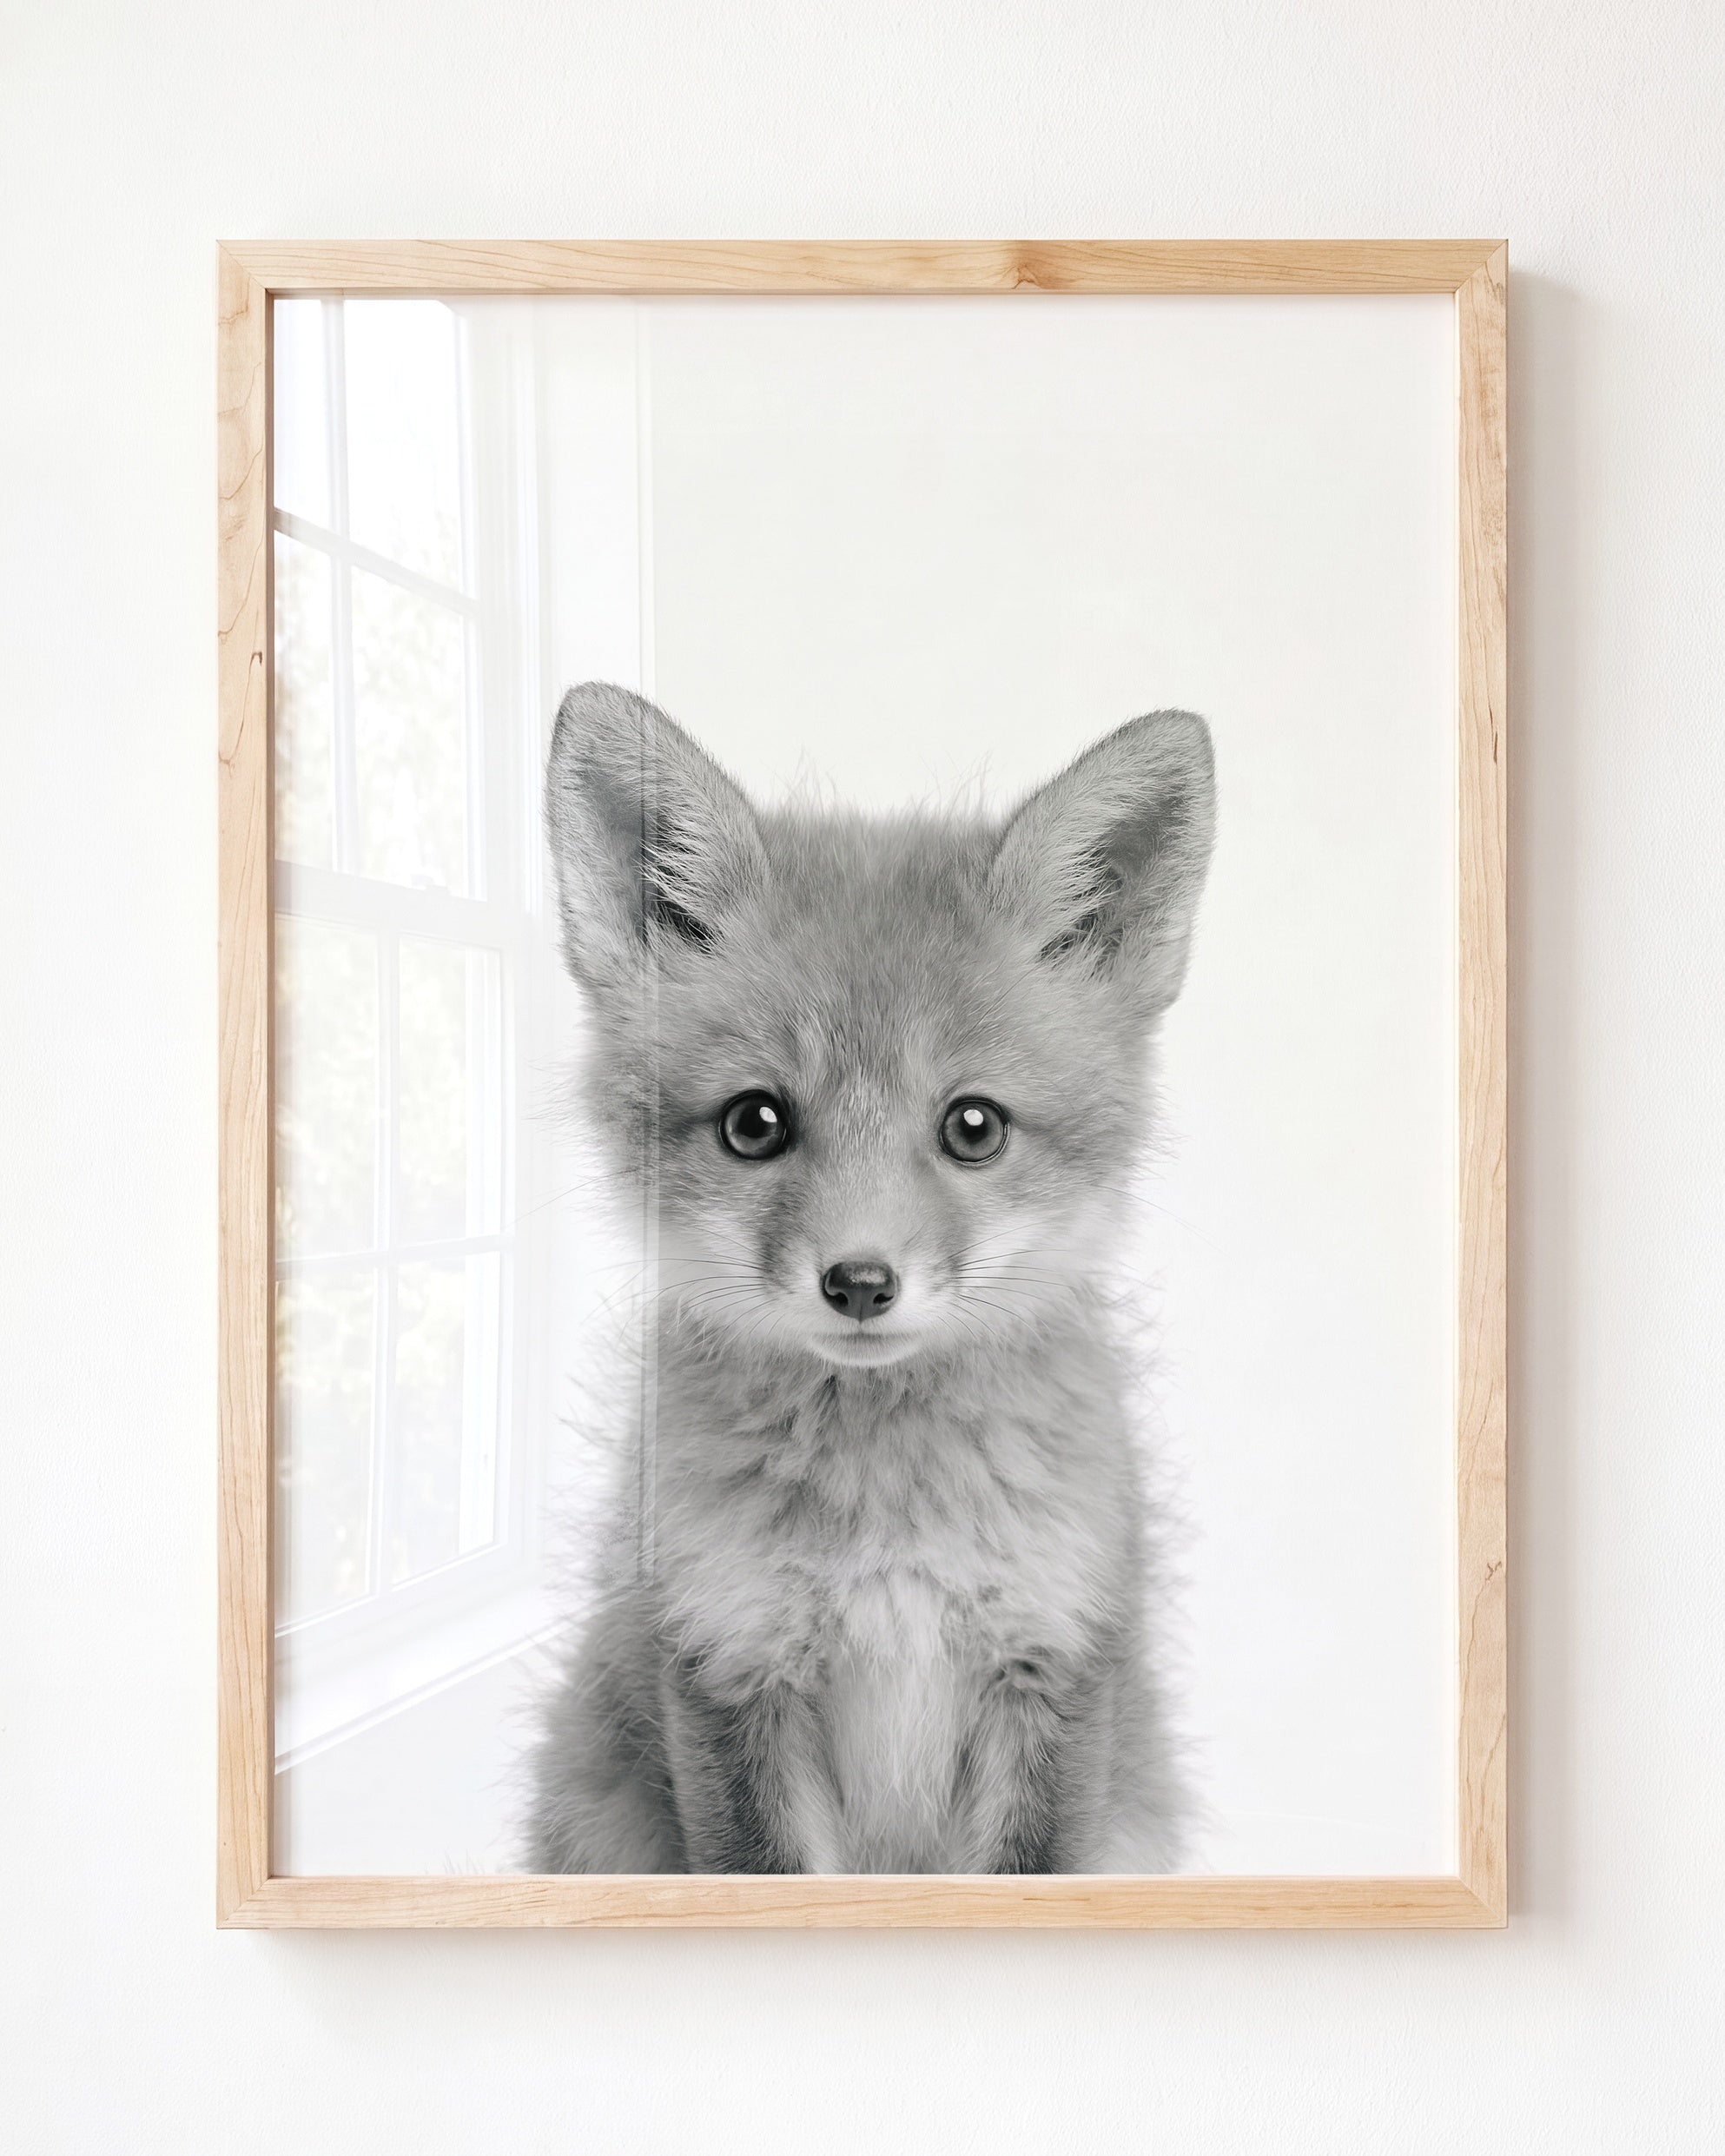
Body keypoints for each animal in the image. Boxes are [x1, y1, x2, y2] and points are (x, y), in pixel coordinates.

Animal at [525, 682, 1215, 1874]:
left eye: (973, 1127)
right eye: (755, 1123)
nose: (858, 1282)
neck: (890, 1528)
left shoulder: (1052, 1662)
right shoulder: (728, 1663)